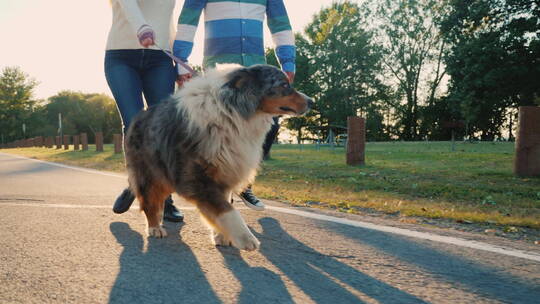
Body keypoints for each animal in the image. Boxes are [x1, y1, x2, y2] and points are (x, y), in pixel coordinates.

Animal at [123, 63, 312, 251]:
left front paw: (221, 236)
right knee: (149, 202)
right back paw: (155, 228)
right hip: (151, 174)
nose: (311, 101)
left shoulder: (224, 171)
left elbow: (222, 205)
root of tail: (138, 117)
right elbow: (227, 209)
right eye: (284, 85)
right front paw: (246, 238)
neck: (230, 112)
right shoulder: (197, 179)